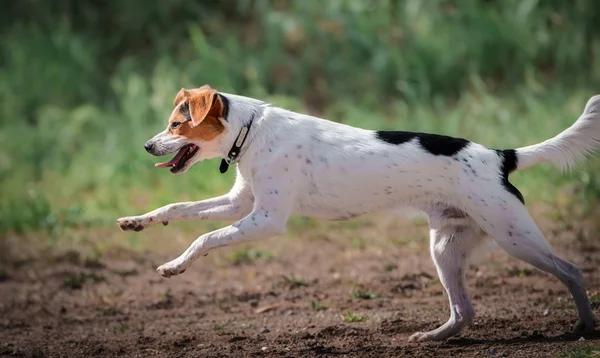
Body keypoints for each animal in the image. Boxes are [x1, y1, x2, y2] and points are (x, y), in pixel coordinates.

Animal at [116, 86, 596, 342]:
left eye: (176, 125)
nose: (146, 146)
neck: (250, 132)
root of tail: (500, 156)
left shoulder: (265, 219)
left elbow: (205, 238)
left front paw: (175, 265)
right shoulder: (240, 205)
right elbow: (178, 209)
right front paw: (138, 222)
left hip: (514, 236)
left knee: (571, 270)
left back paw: (587, 325)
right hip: (446, 248)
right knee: (464, 312)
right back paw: (432, 338)